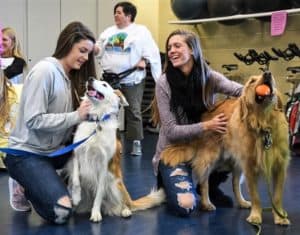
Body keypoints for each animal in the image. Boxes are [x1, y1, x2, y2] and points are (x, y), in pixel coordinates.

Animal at [65, 78, 164, 221]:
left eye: (104, 84)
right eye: (94, 79)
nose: (90, 79)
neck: (97, 120)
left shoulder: (103, 166)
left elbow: (99, 193)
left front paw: (96, 213)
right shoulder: (77, 155)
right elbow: (75, 179)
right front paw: (76, 197)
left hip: (115, 184)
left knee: (124, 204)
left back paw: (125, 211)